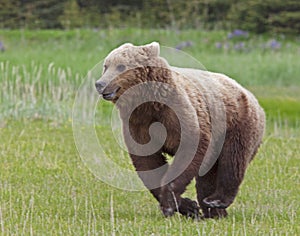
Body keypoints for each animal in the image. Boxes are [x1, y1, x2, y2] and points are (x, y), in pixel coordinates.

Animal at [94, 41, 264, 218]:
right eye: (106, 66)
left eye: (121, 66)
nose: (100, 84)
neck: (149, 103)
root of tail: (249, 93)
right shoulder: (138, 124)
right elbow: (147, 162)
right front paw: (188, 206)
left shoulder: (179, 113)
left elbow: (190, 149)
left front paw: (170, 204)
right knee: (209, 172)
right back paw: (212, 209)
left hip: (236, 123)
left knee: (233, 159)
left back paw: (217, 200)